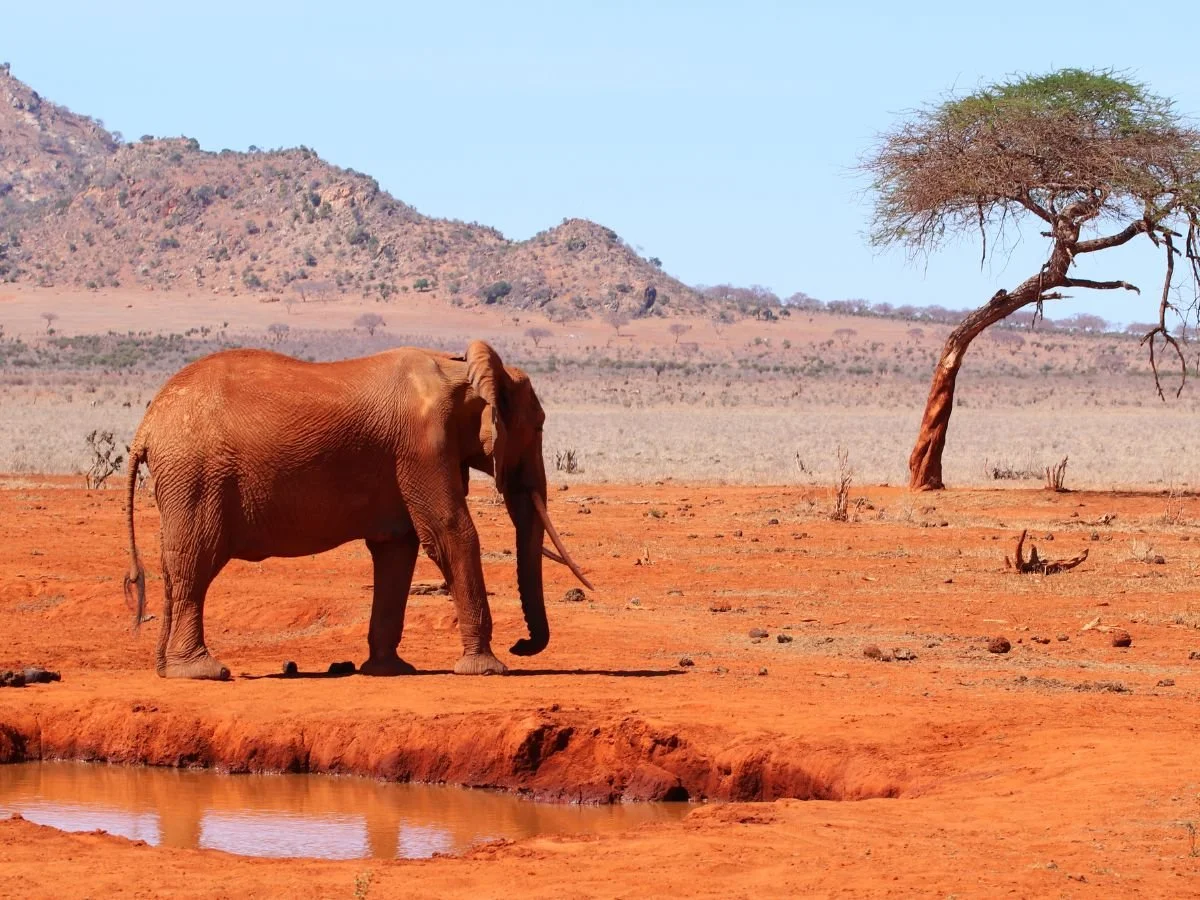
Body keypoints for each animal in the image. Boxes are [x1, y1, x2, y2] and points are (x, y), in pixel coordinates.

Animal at [121, 340, 592, 680]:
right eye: (539, 427)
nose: (521, 645)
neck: (461, 369)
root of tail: (146, 426)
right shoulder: (423, 446)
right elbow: (450, 533)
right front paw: (487, 669)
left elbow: (396, 548)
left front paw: (390, 671)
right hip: (195, 474)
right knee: (195, 564)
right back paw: (204, 673)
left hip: (182, 480)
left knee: (175, 568)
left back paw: (169, 670)